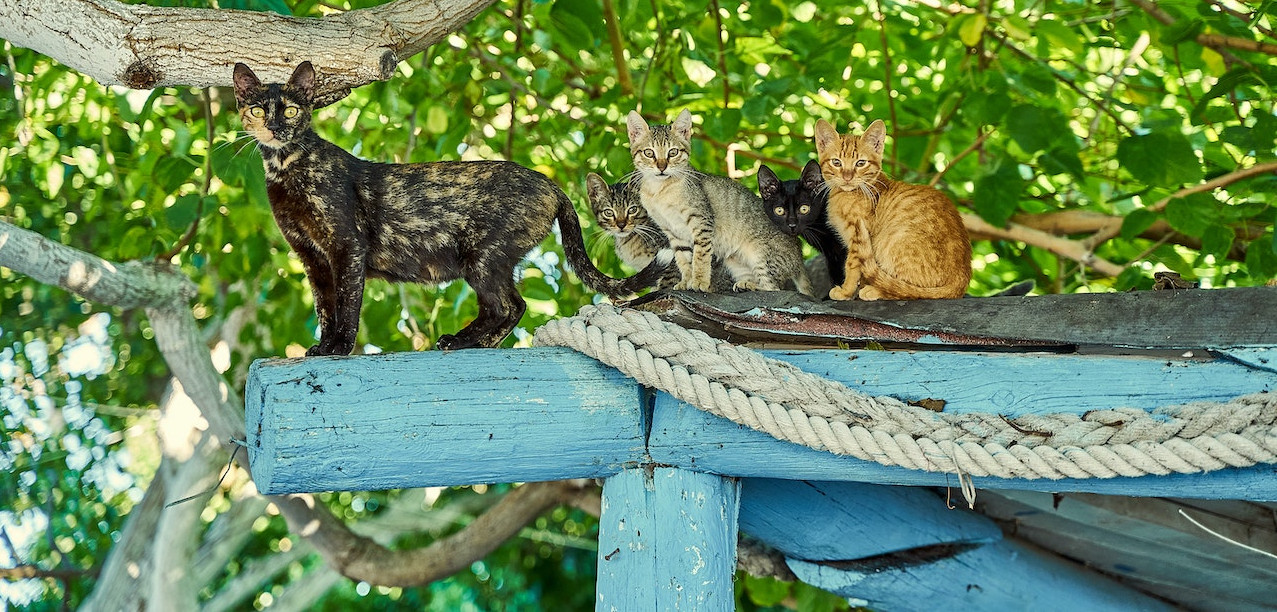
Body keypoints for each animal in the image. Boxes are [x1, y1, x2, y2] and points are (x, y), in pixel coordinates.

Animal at [233, 61, 669, 355]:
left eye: (291, 109)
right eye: (257, 110)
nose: (275, 127)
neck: (285, 170)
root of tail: (550, 184)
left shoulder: (346, 246)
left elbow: (347, 302)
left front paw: (339, 347)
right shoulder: (312, 257)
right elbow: (325, 306)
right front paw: (322, 348)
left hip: (481, 257)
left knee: (509, 305)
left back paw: (463, 343)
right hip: (489, 261)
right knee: (508, 306)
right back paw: (469, 341)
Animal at [623, 109, 812, 296]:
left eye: (673, 152)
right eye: (649, 153)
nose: (662, 167)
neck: (659, 190)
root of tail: (799, 254)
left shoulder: (701, 221)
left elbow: (700, 256)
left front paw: (699, 282)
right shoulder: (673, 232)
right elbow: (683, 260)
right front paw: (686, 281)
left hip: (761, 256)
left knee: (773, 288)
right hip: (735, 261)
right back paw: (744, 284)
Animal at [812, 118, 970, 300]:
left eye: (861, 163)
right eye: (836, 162)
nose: (847, 177)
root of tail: (961, 281)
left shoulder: (857, 234)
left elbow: (852, 264)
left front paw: (846, 291)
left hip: (890, 241)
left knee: (908, 291)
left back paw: (876, 290)